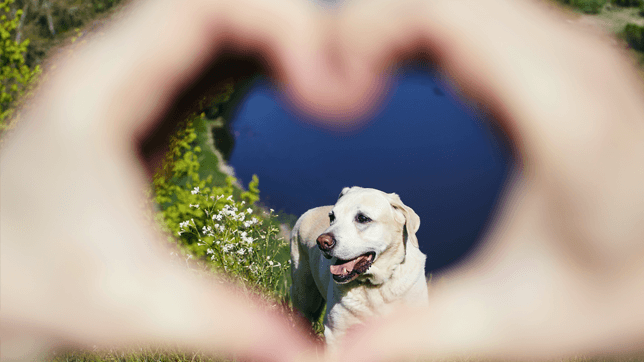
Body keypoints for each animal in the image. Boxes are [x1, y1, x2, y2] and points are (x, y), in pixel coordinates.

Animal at [290, 187, 430, 346]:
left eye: (362, 218)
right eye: (332, 217)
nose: (322, 242)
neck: (376, 285)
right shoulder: (336, 333)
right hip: (304, 294)